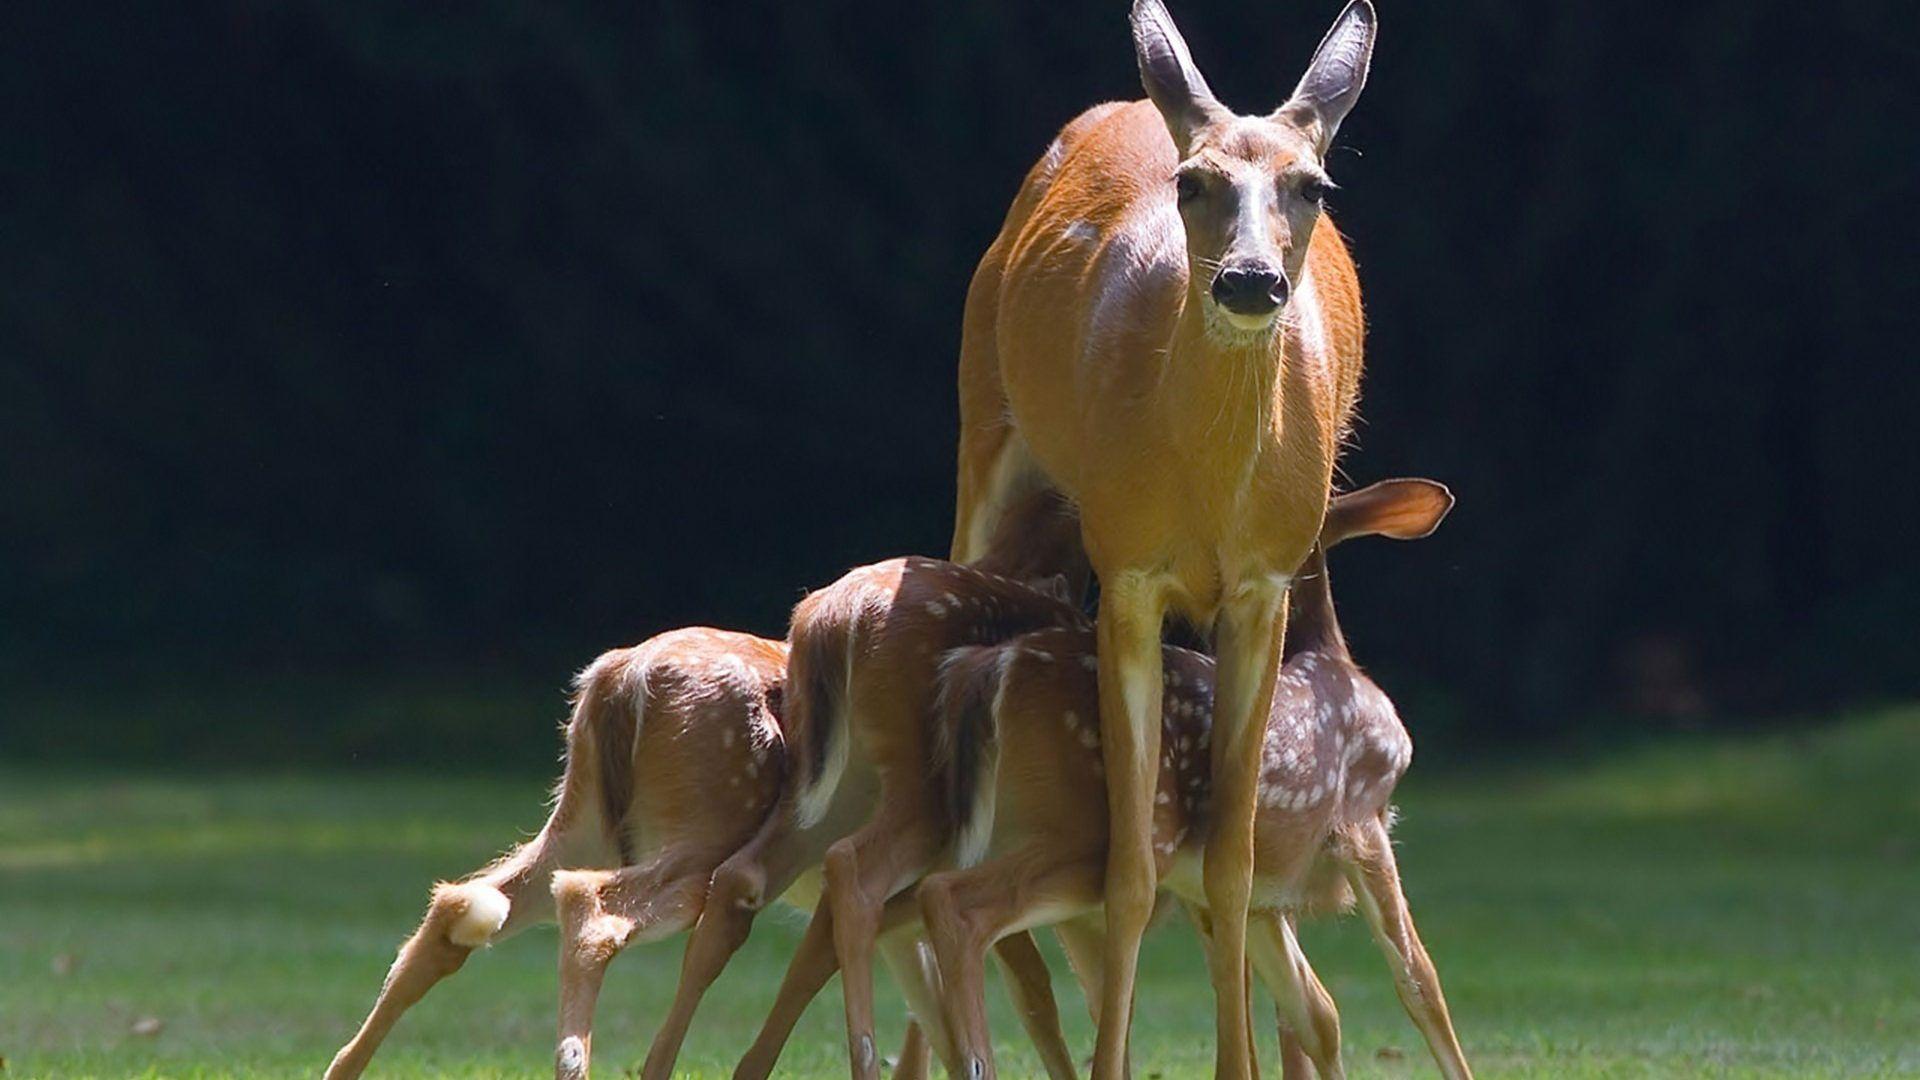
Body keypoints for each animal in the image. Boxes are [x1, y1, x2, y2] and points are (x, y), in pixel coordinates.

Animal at [919, 478, 1470, 1080]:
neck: (1333, 658)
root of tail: (989, 670)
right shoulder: (1363, 818)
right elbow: (1420, 982)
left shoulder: (1258, 897)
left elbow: (1313, 1011)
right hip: (1088, 837)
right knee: (954, 900)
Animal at [948, 1, 1380, 1072]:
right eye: (1194, 182)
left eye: (1313, 186)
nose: (1251, 282)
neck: (1207, 491)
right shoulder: (1129, 574)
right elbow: (1130, 869)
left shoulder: (1265, 585)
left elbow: (1230, 861)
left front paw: (1240, 1063)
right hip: (985, 439)